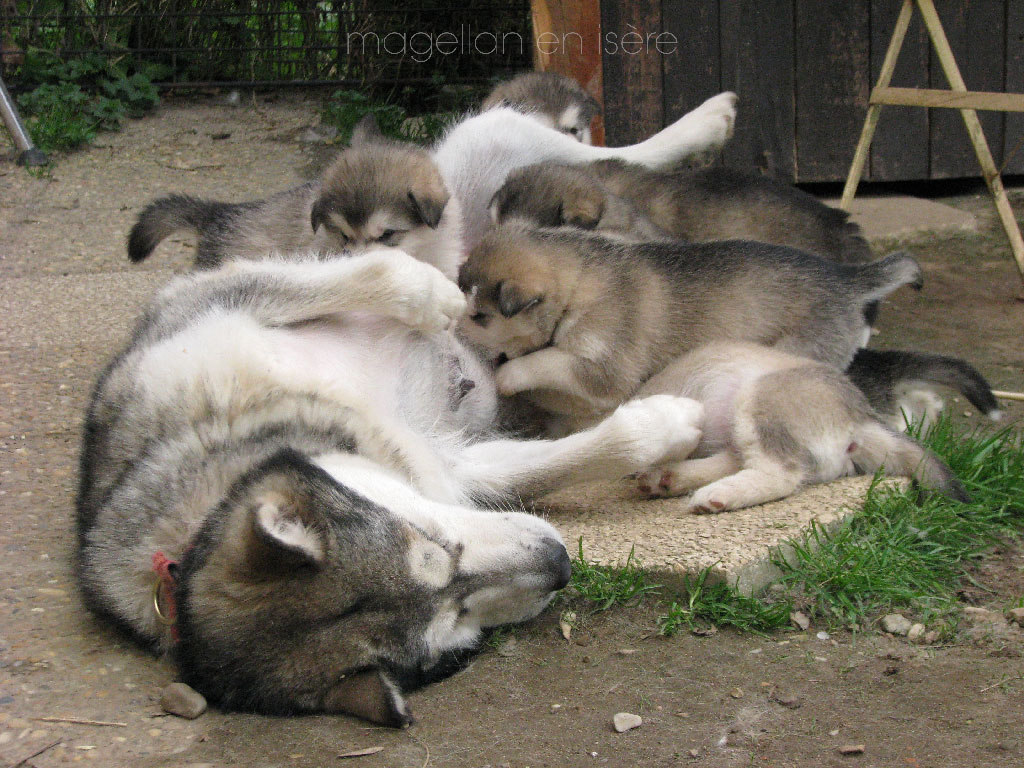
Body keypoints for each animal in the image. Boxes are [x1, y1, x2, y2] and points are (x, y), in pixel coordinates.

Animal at [456, 225, 921, 430]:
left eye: (480, 317)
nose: (452, 333)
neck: (578, 282)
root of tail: (846, 277)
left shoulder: (604, 368)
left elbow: (546, 362)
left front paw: (507, 377)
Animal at [630, 342, 966, 512]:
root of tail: (862, 417)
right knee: (737, 459)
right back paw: (667, 478)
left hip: (759, 399)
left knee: (781, 475)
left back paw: (717, 495)